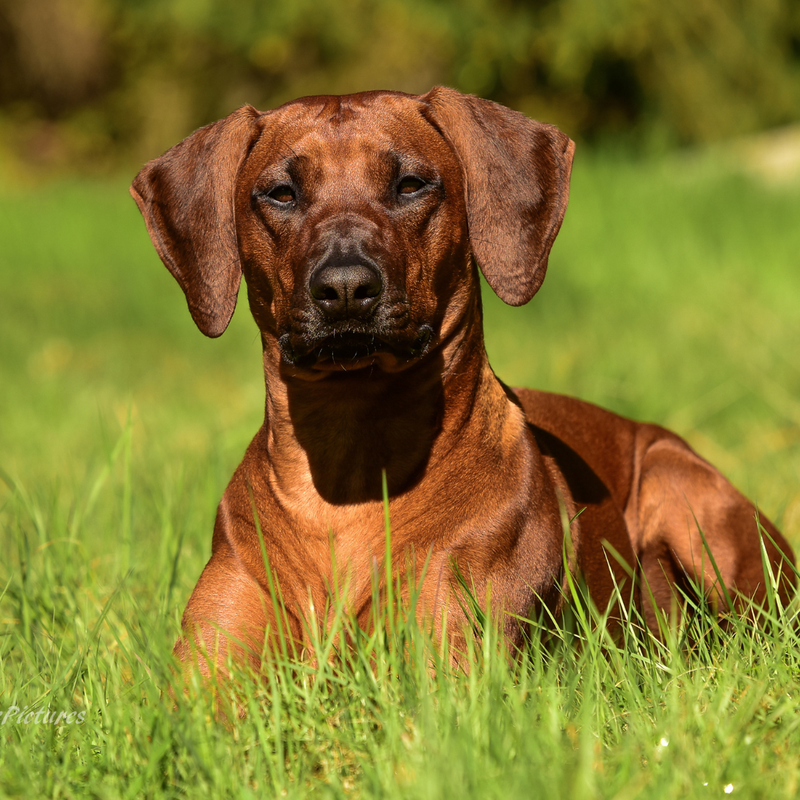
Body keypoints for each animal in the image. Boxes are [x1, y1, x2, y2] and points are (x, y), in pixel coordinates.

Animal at [130, 86, 792, 676]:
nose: (344, 287)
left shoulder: (449, 666)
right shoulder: (206, 679)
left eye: (410, 184)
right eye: (281, 193)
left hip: (681, 487)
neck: (346, 470)